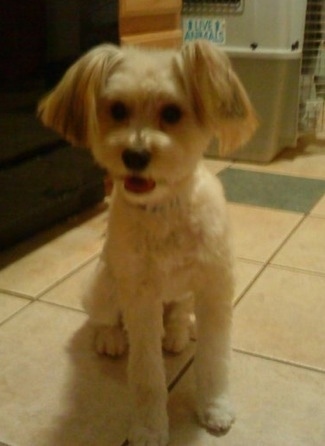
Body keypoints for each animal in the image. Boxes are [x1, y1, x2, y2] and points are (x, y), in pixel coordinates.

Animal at [38, 40, 256, 444]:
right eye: (117, 110)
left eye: (171, 112)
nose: (135, 156)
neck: (163, 209)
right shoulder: (140, 298)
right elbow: (147, 375)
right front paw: (149, 427)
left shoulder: (214, 288)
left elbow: (215, 358)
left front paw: (215, 407)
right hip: (104, 287)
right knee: (101, 319)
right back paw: (110, 338)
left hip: (183, 295)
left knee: (178, 315)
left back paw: (179, 332)